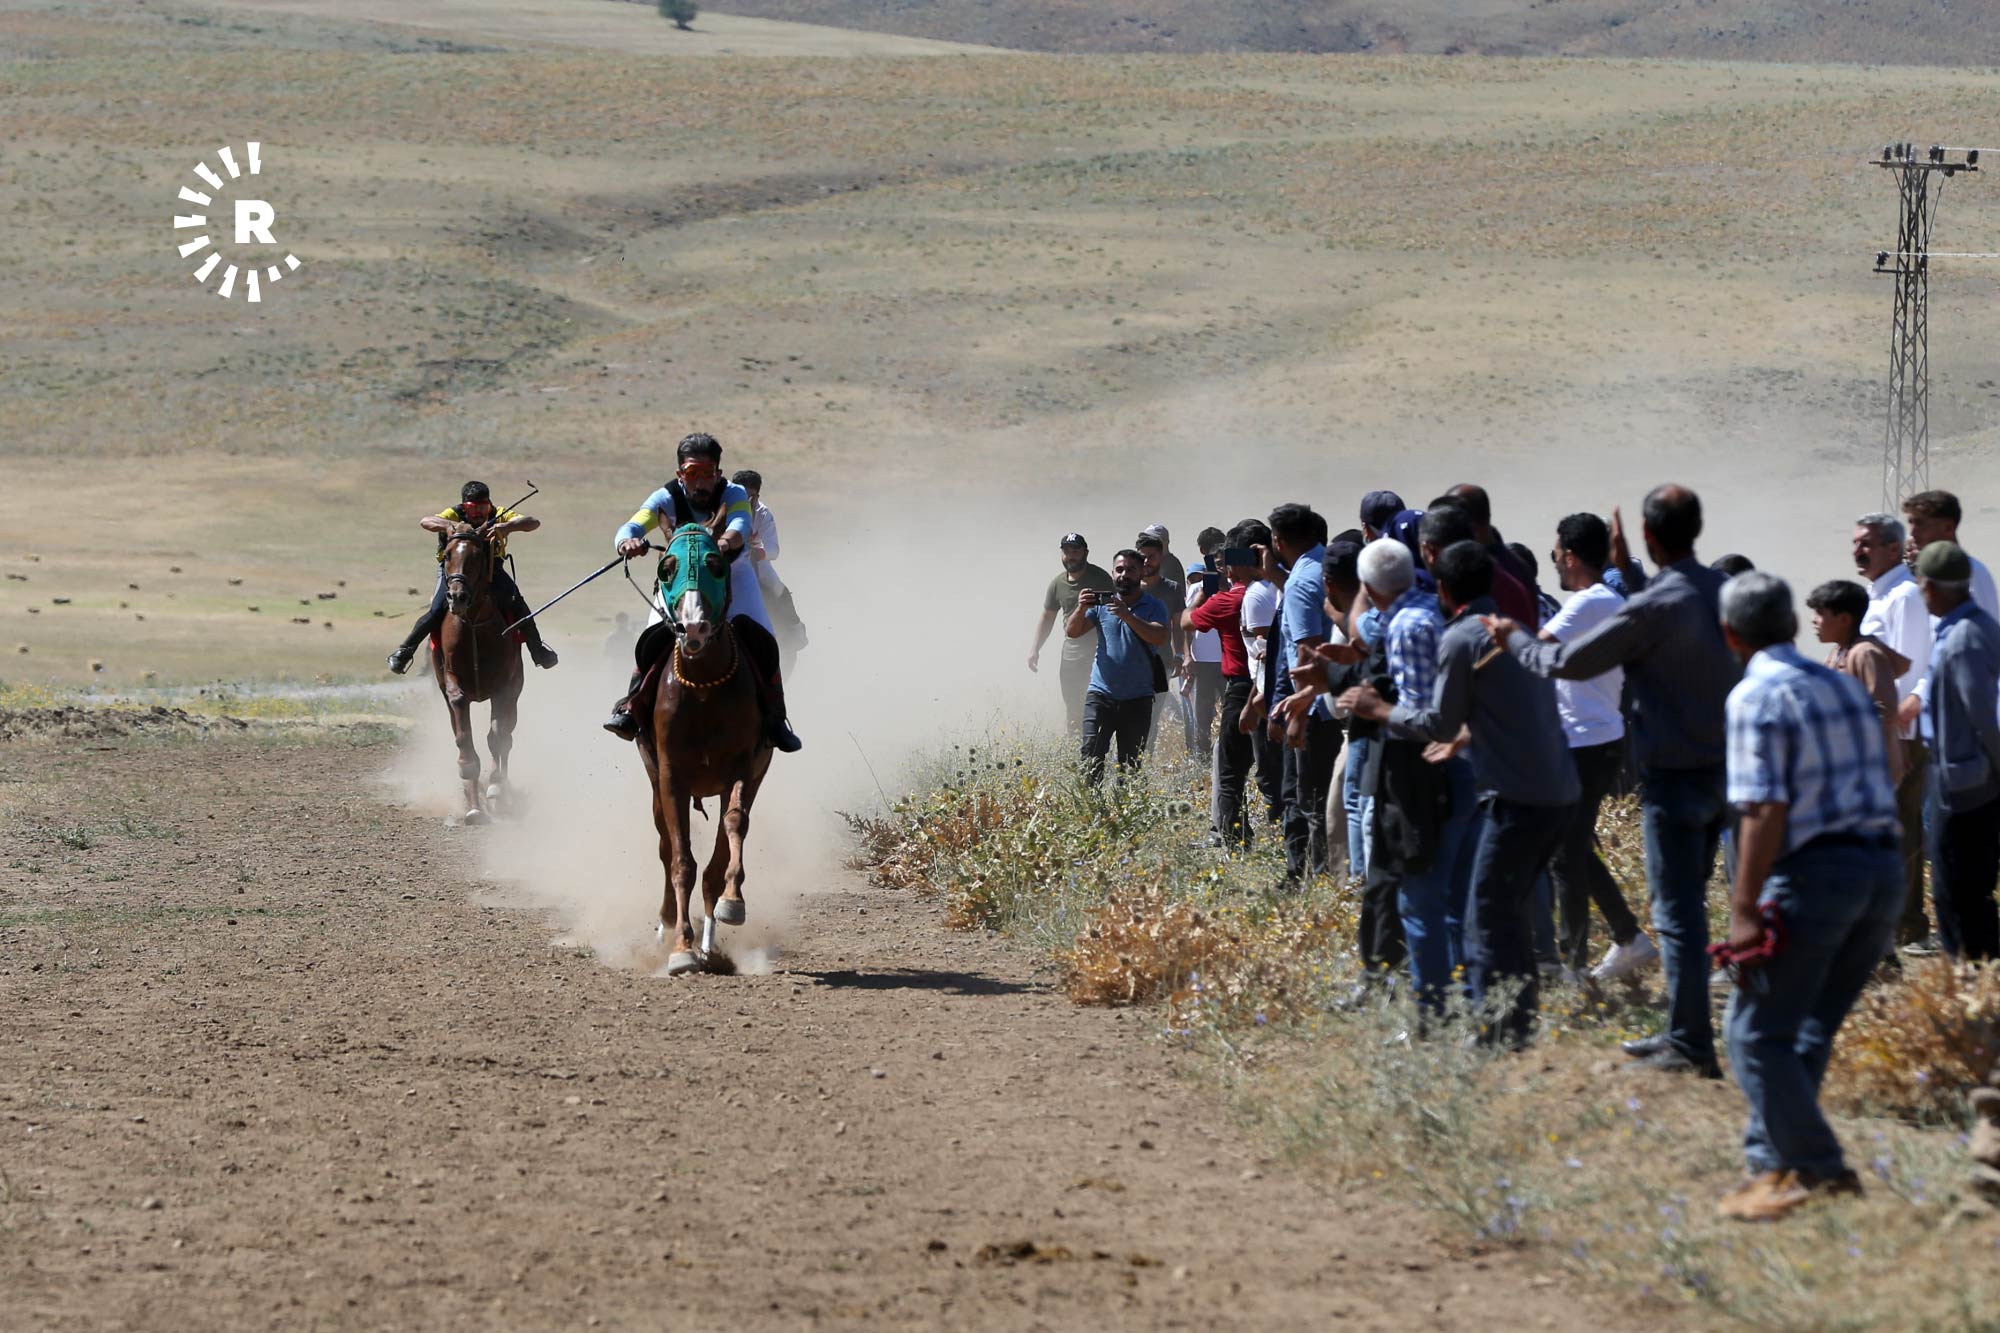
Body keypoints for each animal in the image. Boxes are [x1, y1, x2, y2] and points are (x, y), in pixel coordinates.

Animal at [431, 530, 525, 826]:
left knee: (508, 738)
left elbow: (497, 737)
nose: (457, 597)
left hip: (515, 696)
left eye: (476, 556)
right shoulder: (452, 684)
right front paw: (473, 802)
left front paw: (495, 786)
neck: (472, 624)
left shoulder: (504, 688)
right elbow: (464, 738)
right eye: (448, 554)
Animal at [636, 523, 773, 975]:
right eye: (667, 567)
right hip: (655, 784)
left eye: (715, 564)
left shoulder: (744, 769)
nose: (692, 629)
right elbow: (681, 861)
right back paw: (667, 928)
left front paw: (731, 904)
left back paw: (711, 939)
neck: (703, 689)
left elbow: (733, 826)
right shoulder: (671, 777)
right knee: (665, 849)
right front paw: (681, 947)